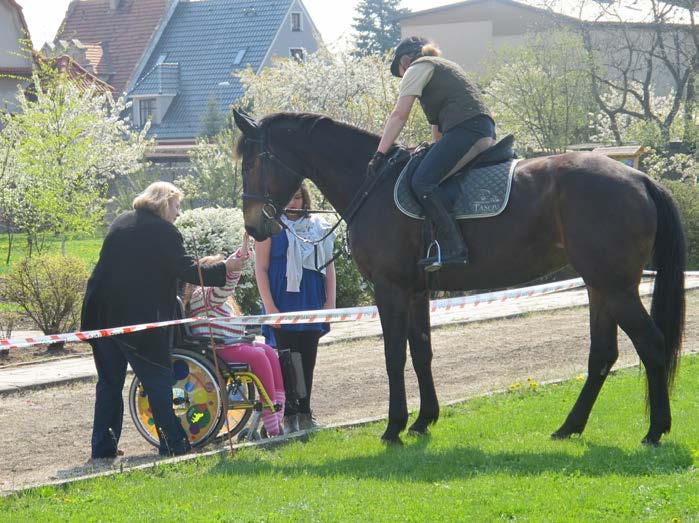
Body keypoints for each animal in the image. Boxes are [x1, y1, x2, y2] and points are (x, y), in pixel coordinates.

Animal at [232, 110, 688, 446]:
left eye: (252, 161)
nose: (253, 225)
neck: (371, 184)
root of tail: (639, 178)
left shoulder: (390, 290)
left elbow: (394, 356)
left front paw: (394, 426)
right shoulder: (417, 292)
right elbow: (422, 353)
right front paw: (423, 420)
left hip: (615, 288)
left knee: (651, 344)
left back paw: (655, 430)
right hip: (600, 287)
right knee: (602, 356)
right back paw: (570, 426)